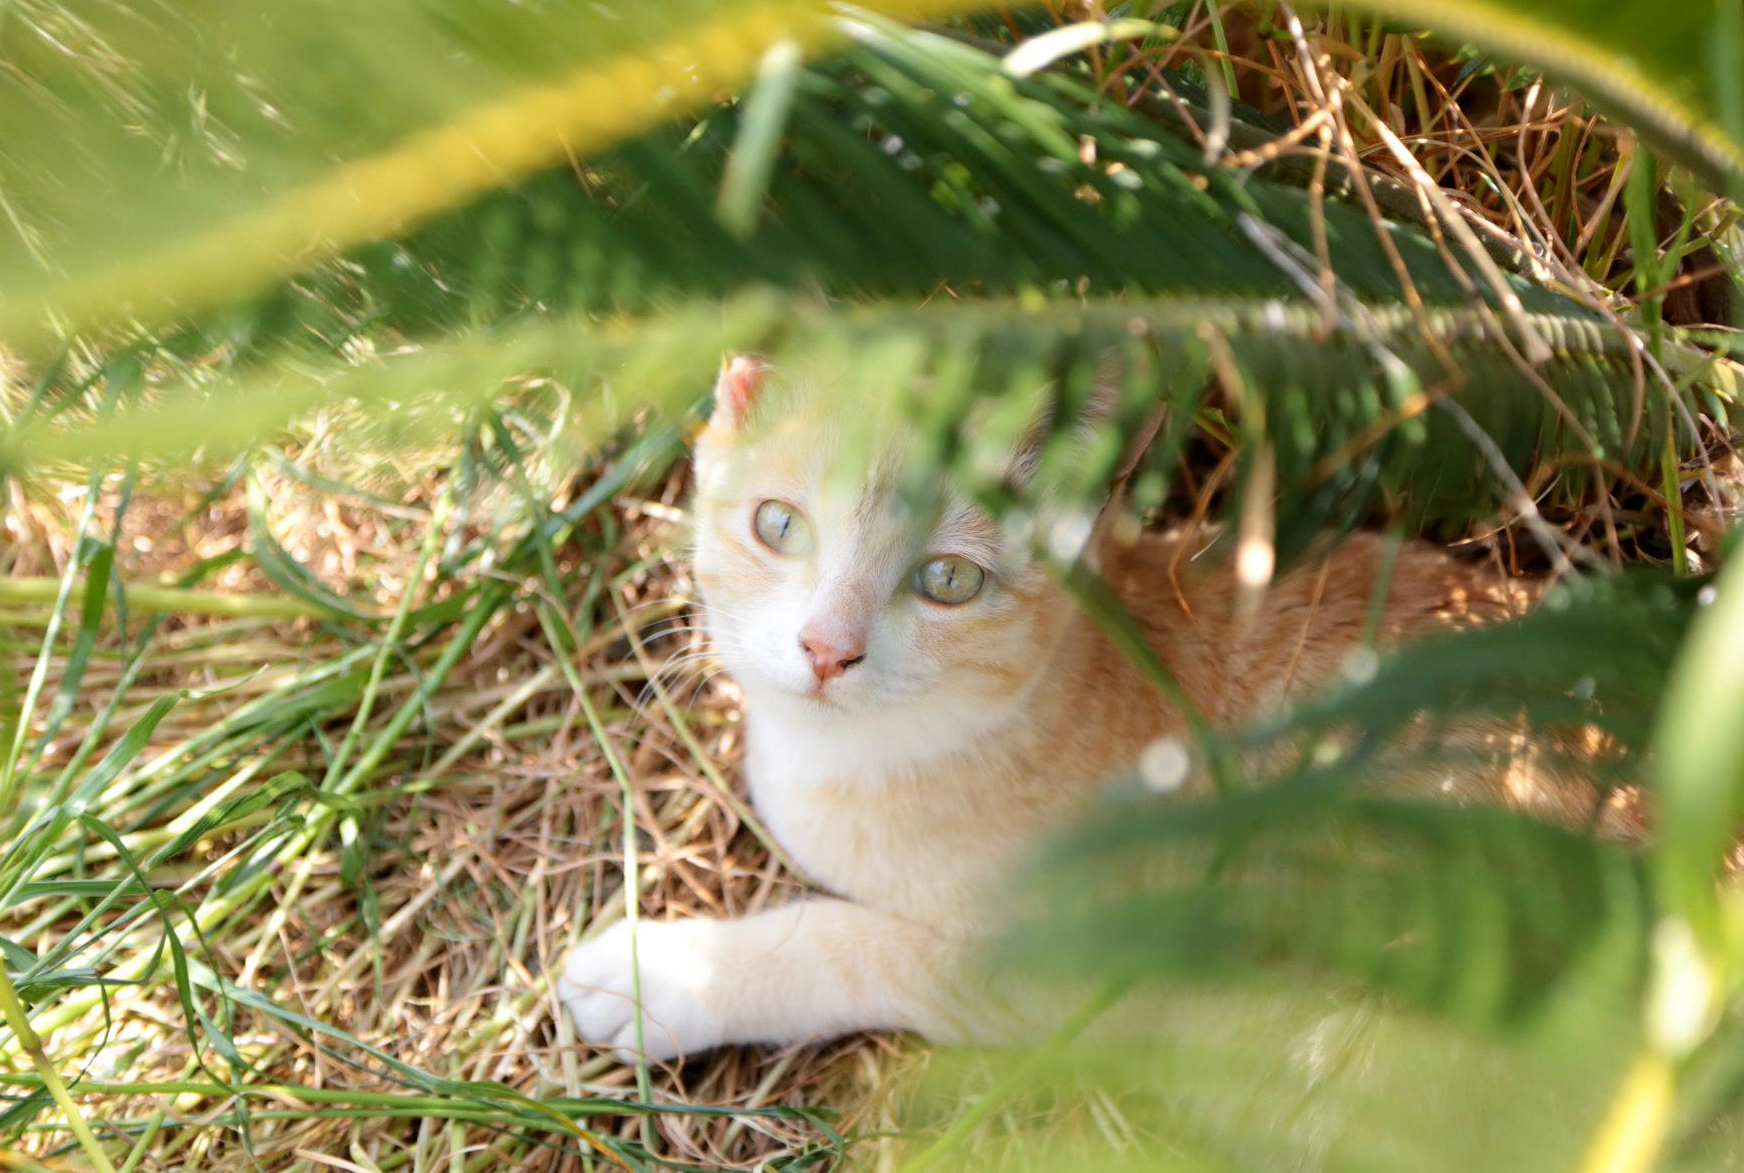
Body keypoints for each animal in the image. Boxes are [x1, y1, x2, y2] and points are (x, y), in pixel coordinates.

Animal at [554, 353, 1618, 1059]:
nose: (827, 648)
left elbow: (846, 941)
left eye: (948, 580)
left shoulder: (1083, 970)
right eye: (780, 525)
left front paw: (664, 977)